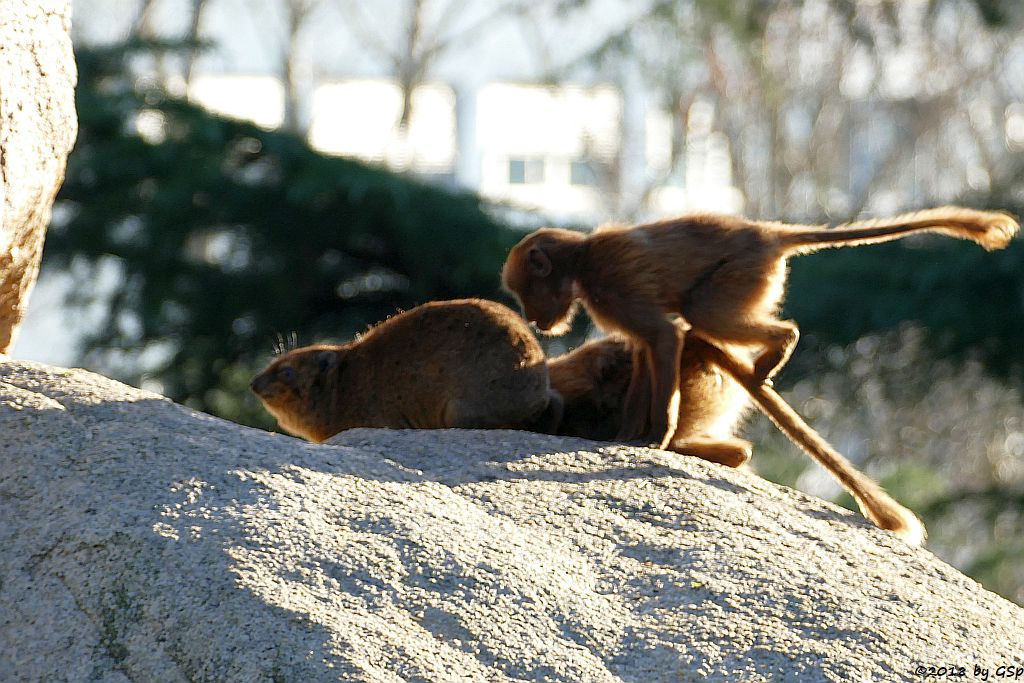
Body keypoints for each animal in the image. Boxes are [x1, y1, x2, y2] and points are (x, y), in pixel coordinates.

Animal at [252, 301, 565, 444]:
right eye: (273, 362)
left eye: (287, 373)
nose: (255, 383)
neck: (341, 390)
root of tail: (539, 396)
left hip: (461, 409)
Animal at [501, 206, 1015, 448]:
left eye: (524, 292)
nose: (535, 319)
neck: (581, 258)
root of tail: (766, 232)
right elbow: (648, 347)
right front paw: (629, 433)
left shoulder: (611, 285)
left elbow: (665, 337)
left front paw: (657, 436)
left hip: (742, 273)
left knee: (706, 314)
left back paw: (779, 346)